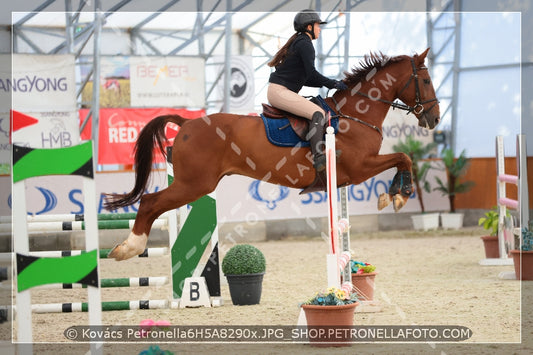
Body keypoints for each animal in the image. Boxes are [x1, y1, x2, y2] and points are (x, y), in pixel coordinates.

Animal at [105, 48, 440, 262]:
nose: (434, 118)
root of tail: (187, 122)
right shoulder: (359, 168)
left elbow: (402, 159)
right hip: (194, 184)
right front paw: (399, 195)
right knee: (150, 203)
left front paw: (392, 195)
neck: (355, 114)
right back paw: (129, 247)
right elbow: (404, 158)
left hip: (193, 184)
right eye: (425, 80)